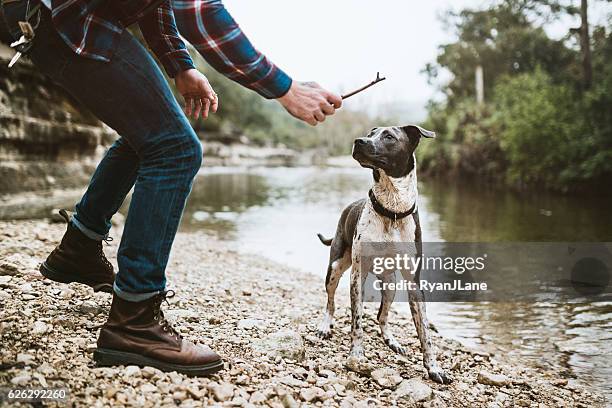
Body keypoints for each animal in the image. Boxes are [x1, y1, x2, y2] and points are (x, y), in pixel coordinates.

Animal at [316, 124, 450, 382]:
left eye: (389, 137)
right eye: (370, 133)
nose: (359, 141)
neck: (392, 210)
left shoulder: (414, 283)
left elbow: (425, 332)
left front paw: (434, 368)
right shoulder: (357, 276)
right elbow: (356, 321)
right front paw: (356, 355)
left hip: (391, 284)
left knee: (382, 316)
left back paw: (392, 340)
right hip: (335, 268)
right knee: (330, 302)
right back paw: (324, 326)